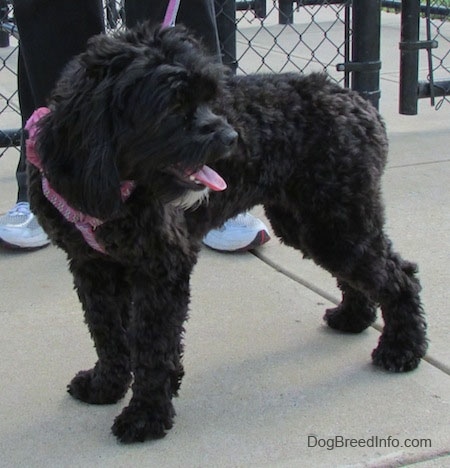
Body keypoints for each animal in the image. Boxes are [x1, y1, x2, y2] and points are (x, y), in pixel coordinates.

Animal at [26, 23, 428, 444]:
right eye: (171, 106)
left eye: (208, 98)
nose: (231, 138)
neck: (115, 178)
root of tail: (359, 103)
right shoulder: (92, 265)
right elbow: (106, 331)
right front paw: (106, 385)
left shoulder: (162, 267)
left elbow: (153, 346)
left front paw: (146, 415)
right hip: (314, 222)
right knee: (360, 273)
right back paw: (354, 317)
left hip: (335, 222)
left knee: (400, 277)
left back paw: (402, 349)